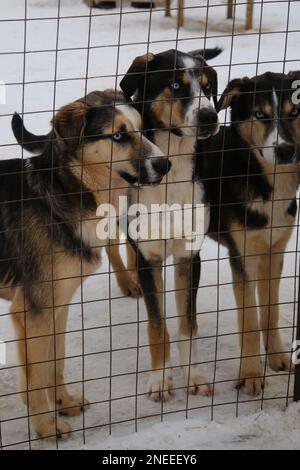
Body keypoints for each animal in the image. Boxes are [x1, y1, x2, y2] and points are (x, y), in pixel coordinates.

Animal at [4, 90, 169, 438]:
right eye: (118, 136)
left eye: (142, 129)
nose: (165, 164)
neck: (62, 194)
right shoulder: (33, 311)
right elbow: (35, 378)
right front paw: (46, 427)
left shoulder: (58, 305)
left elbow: (55, 362)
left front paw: (63, 403)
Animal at [12, 46, 221, 400]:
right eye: (176, 85)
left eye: (208, 88)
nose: (210, 117)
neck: (173, 169)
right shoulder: (149, 255)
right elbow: (157, 326)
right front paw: (160, 379)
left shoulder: (187, 255)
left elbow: (187, 325)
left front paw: (193, 375)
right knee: (113, 245)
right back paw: (128, 281)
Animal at [196, 71, 300, 396]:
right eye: (260, 114)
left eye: (295, 112)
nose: (286, 150)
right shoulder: (242, 256)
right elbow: (251, 320)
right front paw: (252, 374)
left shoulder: (274, 251)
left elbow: (270, 310)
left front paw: (278, 357)